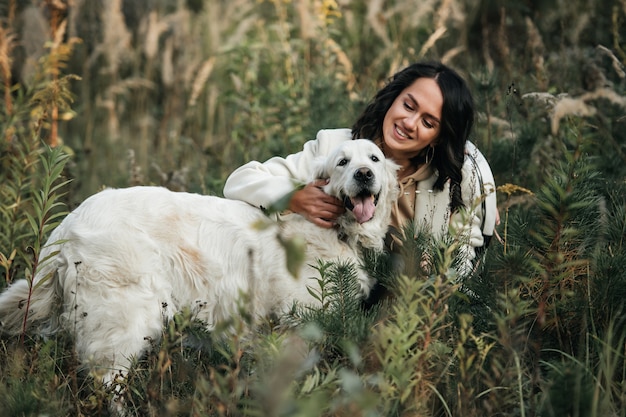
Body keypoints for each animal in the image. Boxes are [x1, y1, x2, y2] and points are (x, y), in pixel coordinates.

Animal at [0, 139, 400, 380]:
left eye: (374, 159)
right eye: (342, 162)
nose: (364, 175)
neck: (337, 231)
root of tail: (66, 225)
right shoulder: (293, 324)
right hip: (124, 316)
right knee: (108, 379)